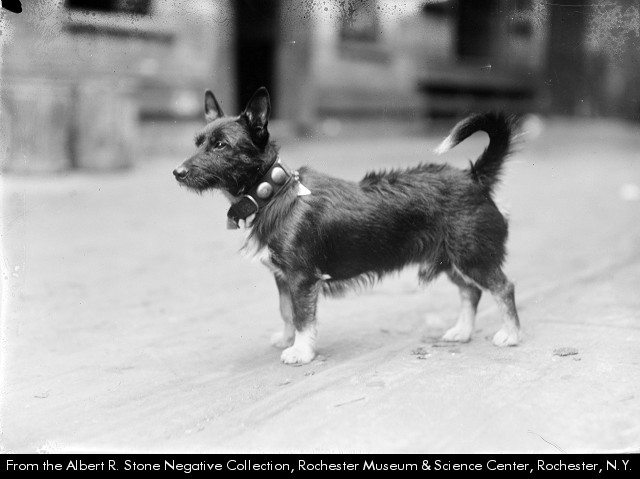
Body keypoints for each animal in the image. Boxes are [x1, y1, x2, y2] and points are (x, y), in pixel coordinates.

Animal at [173, 87, 521, 365]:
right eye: (197, 143)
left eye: (221, 145)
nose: (177, 172)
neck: (275, 194)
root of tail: (475, 177)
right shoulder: (283, 279)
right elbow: (287, 312)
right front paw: (288, 339)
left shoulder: (301, 278)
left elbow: (302, 317)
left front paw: (301, 351)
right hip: (451, 260)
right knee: (471, 292)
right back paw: (463, 331)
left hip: (472, 257)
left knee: (503, 288)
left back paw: (512, 335)